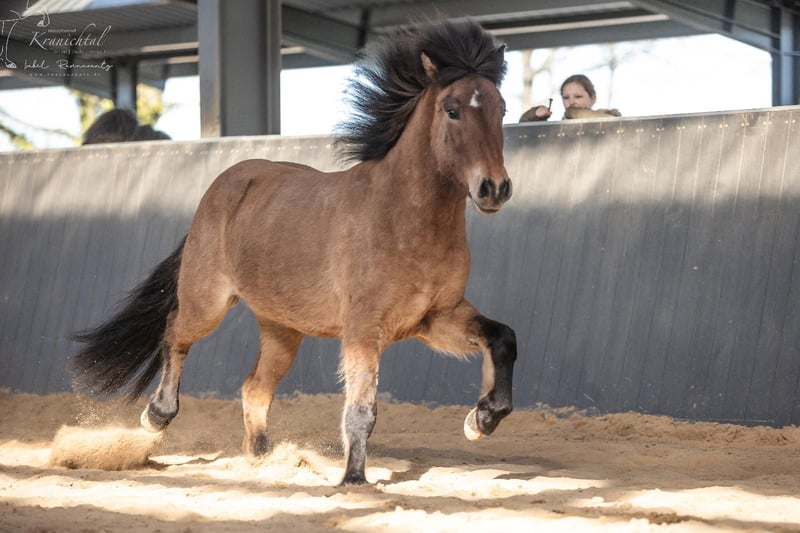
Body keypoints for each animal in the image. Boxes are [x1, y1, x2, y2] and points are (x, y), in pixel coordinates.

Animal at [71, 18, 517, 486]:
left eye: (501, 109)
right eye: (452, 109)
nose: (494, 188)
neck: (404, 221)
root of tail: (225, 185)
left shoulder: (435, 318)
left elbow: (503, 337)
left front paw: (482, 419)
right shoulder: (364, 330)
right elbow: (362, 410)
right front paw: (354, 480)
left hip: (282, 329)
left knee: (254, 389)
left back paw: (260, 459)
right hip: (207, 303)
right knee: (175, 332)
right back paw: (156, 416)